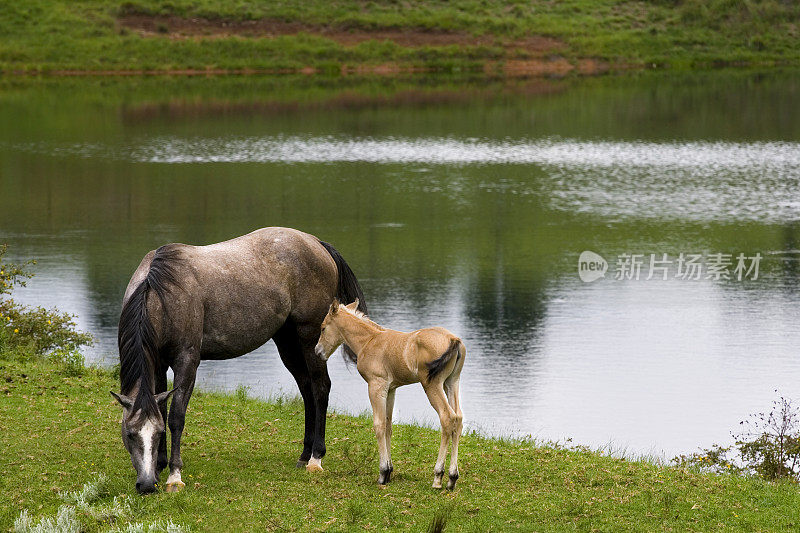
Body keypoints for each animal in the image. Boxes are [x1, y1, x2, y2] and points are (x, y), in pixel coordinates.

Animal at [109, 227, 366, 492]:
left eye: (157, 433)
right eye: (130, 433)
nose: (146, 485)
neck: (162, 294)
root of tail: (316, 242)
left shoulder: (187, 361)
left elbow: (176, 416)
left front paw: (174, 475)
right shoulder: (158, 363)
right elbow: (161, 406)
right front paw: (160, 465)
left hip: (309, 337)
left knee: (320, 388)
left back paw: (316, 457)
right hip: (287, 340)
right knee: (307, 389)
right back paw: (304, 455)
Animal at [312, 298, 462, 488]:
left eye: (323, 327)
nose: (318, 351)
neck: (369, 340)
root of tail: (453, 339)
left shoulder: (376, 386)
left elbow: (379, 425)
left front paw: (383, 473)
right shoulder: (391, 389)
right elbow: (389, 425)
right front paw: (390, 471)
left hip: (432, 385)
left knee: (447, 418)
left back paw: (438, 476)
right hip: (452, 382)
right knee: (458, 419)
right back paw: (452, 477)